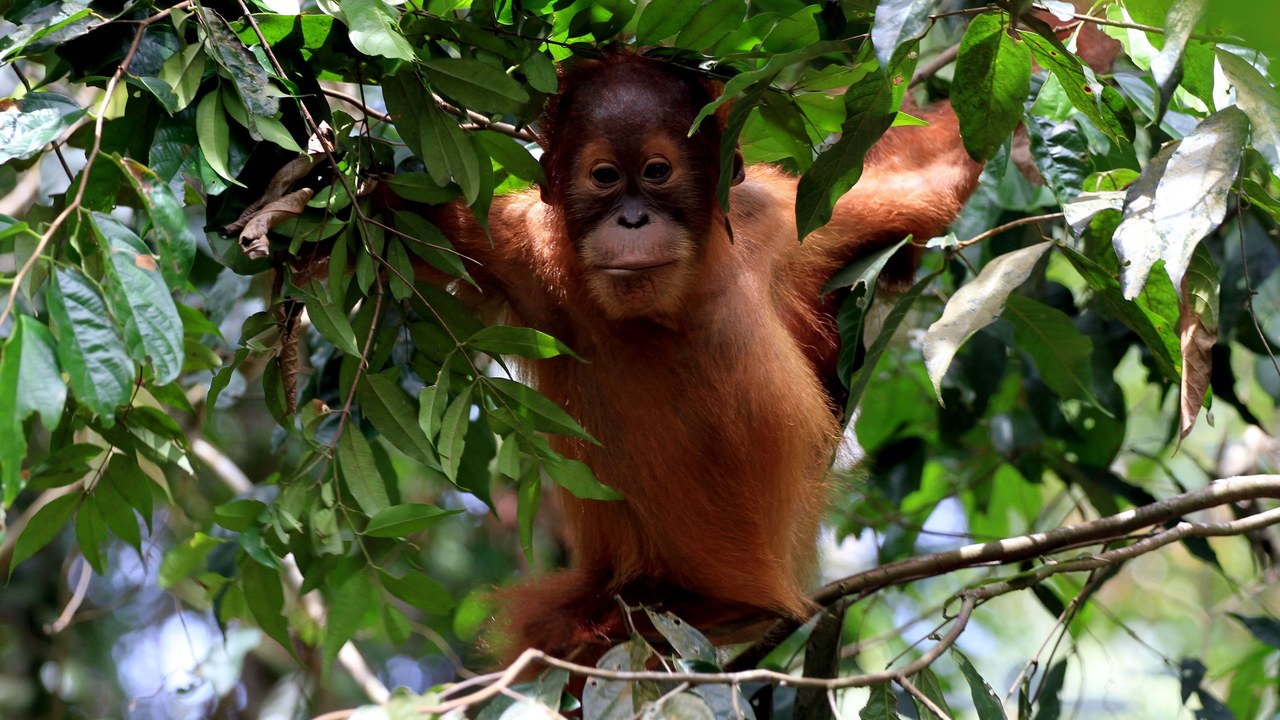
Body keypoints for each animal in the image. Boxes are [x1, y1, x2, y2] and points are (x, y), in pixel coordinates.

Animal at [418, 53, 984, 662]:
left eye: (657, 171)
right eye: (605, 177)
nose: (632, 221)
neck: (679, 301)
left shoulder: (790, 217)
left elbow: (921, 181)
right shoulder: (515, 248)